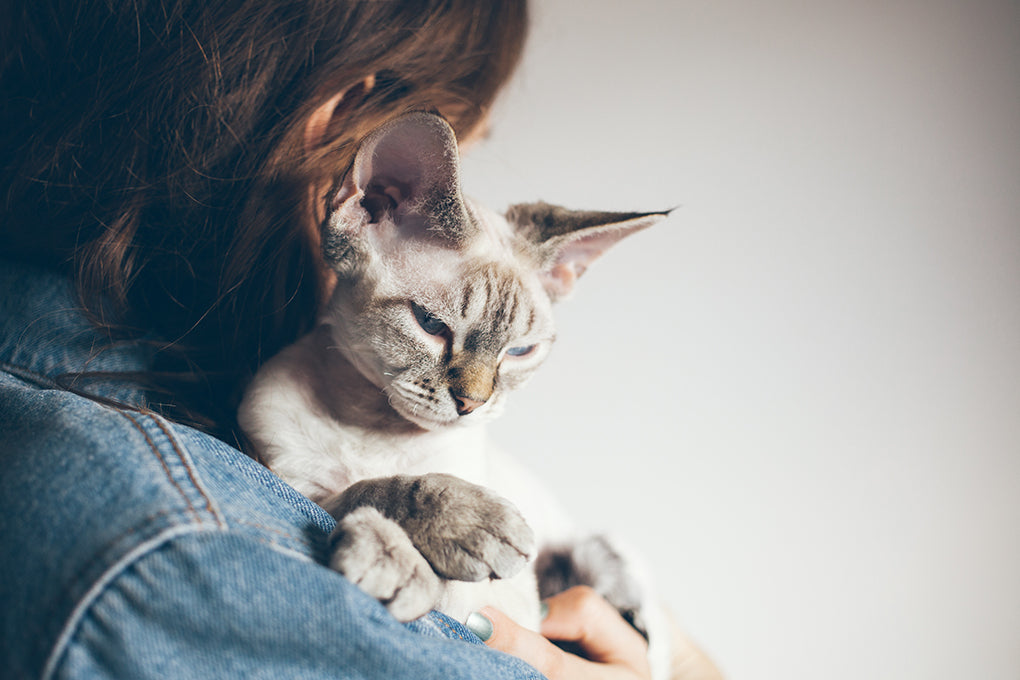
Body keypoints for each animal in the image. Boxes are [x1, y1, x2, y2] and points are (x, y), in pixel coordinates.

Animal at [234, 111, 673, 676]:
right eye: (431, 325)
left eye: (520, 352)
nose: (473, 403)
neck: (373, 427)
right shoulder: (285, 473)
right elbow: (361, 492)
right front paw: (399, 554)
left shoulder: (494, 606)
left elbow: (389, 497)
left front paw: (402, 557)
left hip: (597, 552)